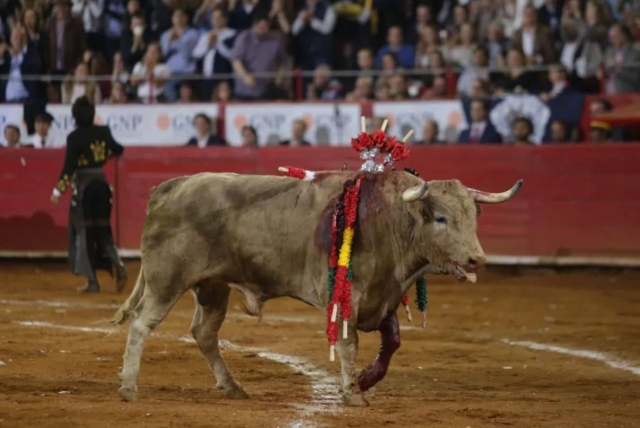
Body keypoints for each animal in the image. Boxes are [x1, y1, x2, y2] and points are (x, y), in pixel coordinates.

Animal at [111, 169, 520, 406]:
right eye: (440, 218)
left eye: (472, 217)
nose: (476, 260)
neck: (386, 219)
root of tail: (169, 186)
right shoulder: (346, 296)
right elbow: (348, 343)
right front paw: (352, 393)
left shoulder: (383, 296)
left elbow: (391, 343)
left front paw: (365, 380)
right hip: (167, 279)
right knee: (142, 324)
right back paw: (129, 387)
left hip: (213, 286)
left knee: (204, 332)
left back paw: (232, 387)